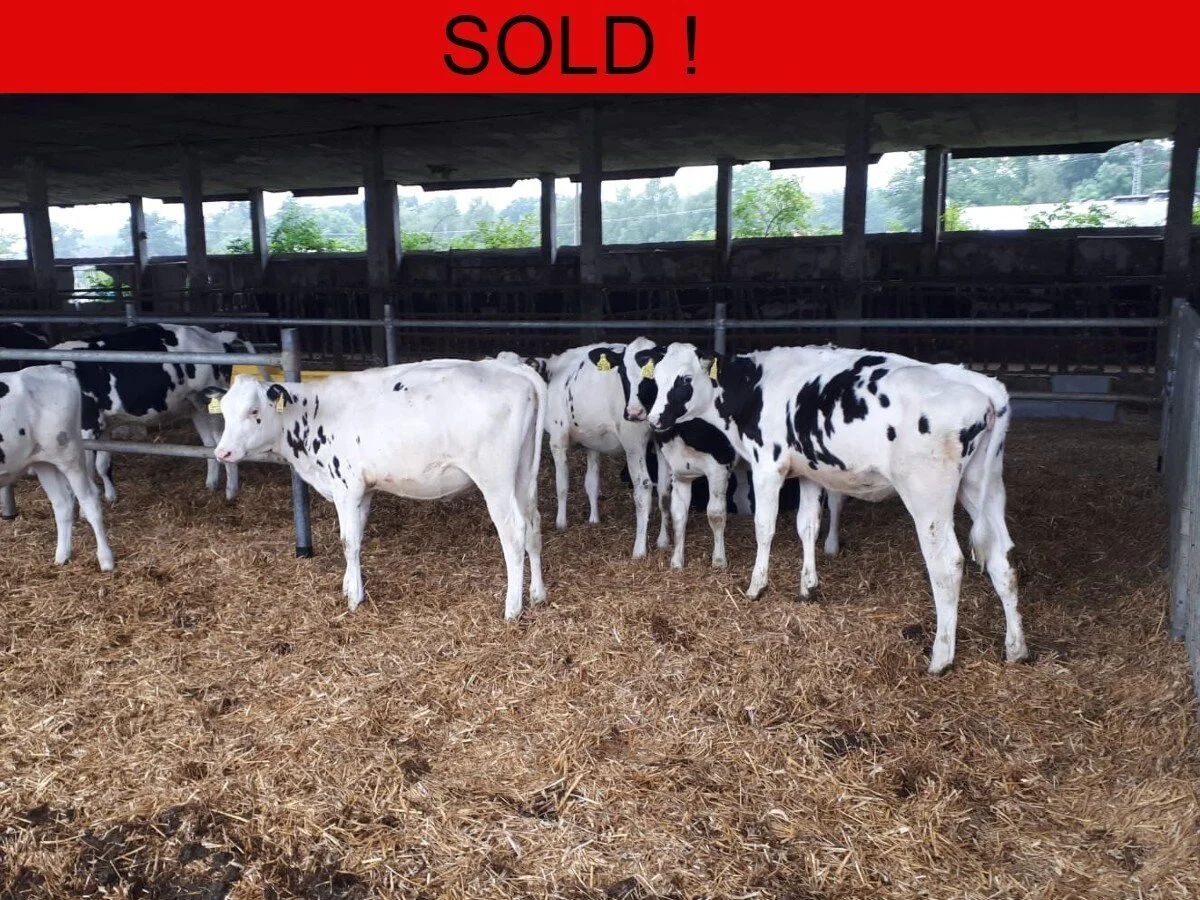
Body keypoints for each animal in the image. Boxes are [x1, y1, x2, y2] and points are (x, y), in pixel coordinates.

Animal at [0, 365, 114, 571]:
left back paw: (105, 559)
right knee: (62, 503)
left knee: (90, 499)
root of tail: (57, 369)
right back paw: (62, 556)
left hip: (69, 455)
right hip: (44, 462)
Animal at [54, 324, 262, 503]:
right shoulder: (103, 427)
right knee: (210, 444)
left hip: (215, 408)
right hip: (196, 406)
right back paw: (211, 484)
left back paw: (231, 493)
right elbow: (102, 466)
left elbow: (86, 473)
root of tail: (215, 336)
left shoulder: (86, 426)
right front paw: (110, 498)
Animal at [210, 359, 547, 620]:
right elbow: (357, 536)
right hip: (523, 474)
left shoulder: (345, 486)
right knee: (533, 523)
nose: (222, 452)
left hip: (495, 478)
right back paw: (537, 593)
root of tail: (511, 369)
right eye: (223, 412)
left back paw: (512, 608)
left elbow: (348, 541)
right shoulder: (364, 490)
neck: (313, 411)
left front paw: (353, 599)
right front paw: (350, 585)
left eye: (254, 411)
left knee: (514, 532)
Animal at [498, 345, 669, 559]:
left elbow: (562, 484)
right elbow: (591, 483)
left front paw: (561, 522)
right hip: (661, 441)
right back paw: (662, 541)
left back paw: (639, 549)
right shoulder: (592, 443)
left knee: (644, 487)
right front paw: (594, 519)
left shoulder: (557, 439)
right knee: (664, 488)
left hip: (634, 443)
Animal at [620, 338, 845, 570]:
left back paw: (831, 545)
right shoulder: (680, 470)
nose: (654, 419)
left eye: (686, 380)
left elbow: (716, 514)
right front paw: (676, 561)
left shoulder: (719, 467)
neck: (687, 432)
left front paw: (719, 560)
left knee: (835, 501)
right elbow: (679, 515)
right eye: (655, 378)